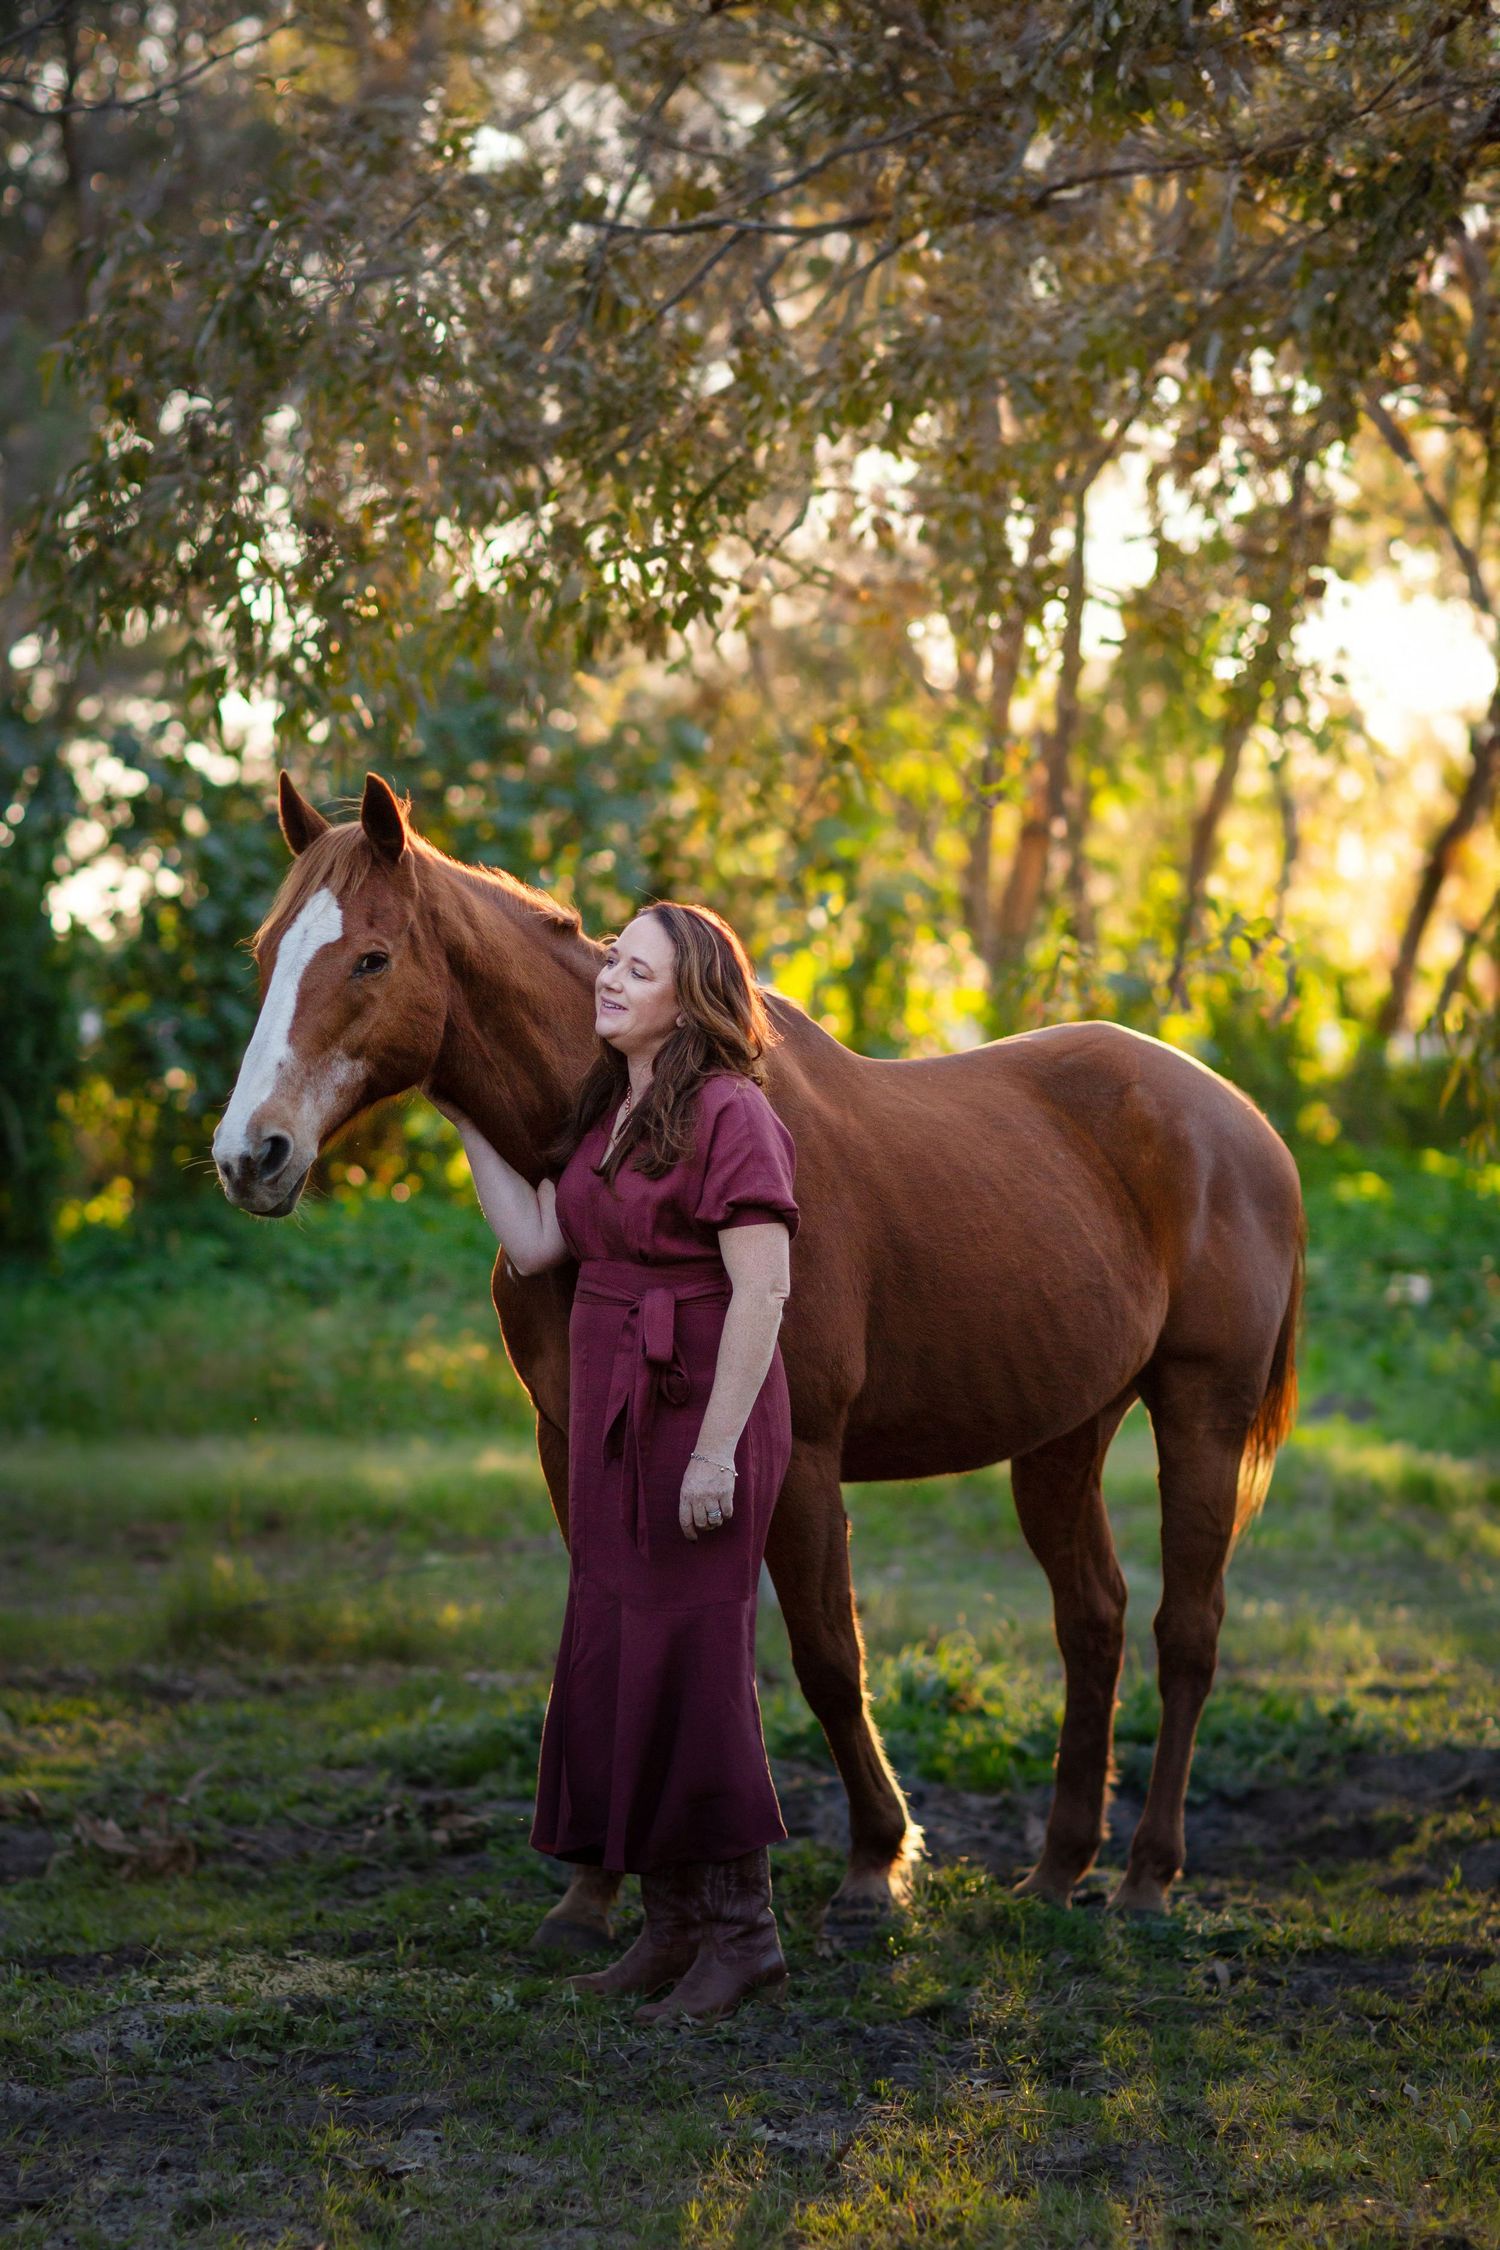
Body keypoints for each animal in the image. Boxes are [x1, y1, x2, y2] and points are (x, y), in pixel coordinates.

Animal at [212, 770, 1304, 1945]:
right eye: (267, 951)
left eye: (370, 957)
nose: (251, 1154)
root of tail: (1241, 1122)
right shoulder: (571, 1443)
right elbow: (603, 1636)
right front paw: (594, 1891)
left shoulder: (798, 1459)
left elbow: (830, 1656)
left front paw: (875, 1866)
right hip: (1061, 1435)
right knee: (1092, 1621)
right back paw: (1059, 1870)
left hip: (1199, 1417)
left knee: (1186, 1631)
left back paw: (1147, 1877)